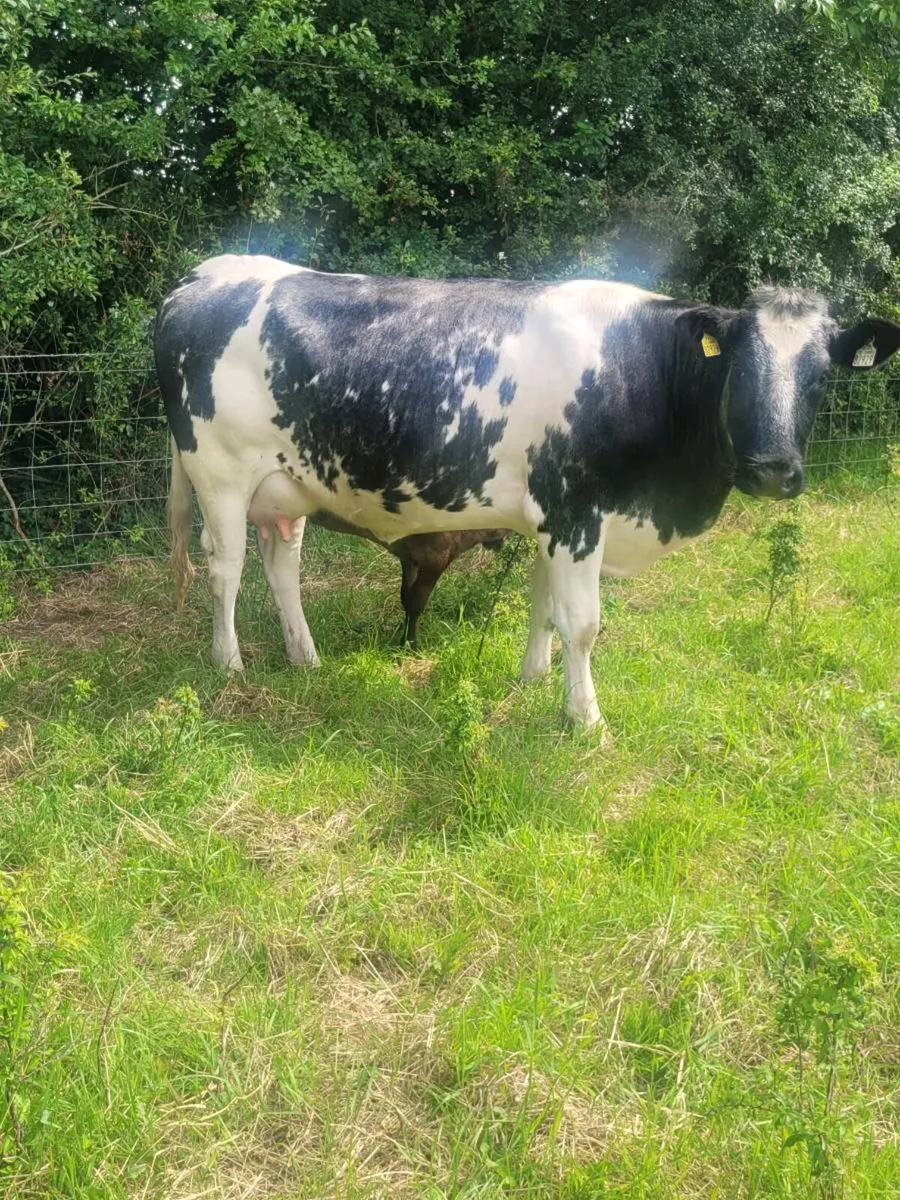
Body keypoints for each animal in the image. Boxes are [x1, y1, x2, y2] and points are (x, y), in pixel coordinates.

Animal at [155, 255, 900, 731]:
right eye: (741, 368)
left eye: (821, 373)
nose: (773, 468)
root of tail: (205, 273)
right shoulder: (575, 512)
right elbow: (583, 622)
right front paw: (586, 718)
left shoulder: (554, 521)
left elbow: (542, 608)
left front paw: (534, 680)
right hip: (220, 473)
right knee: (226, 570)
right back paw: (230, 666)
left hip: (289, 485)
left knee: (282, 566)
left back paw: (305, 658)